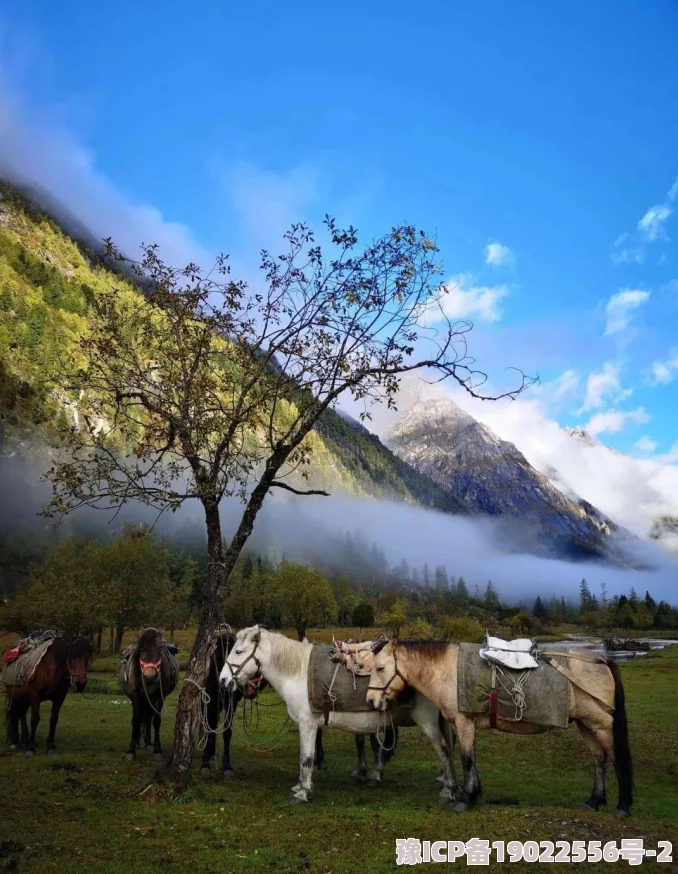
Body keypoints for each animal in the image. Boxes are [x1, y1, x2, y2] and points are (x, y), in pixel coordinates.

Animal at [118, 628, 179, 756]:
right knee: (142, 717)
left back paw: (148, 742)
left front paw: (157, 749)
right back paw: (138, 742)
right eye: (141, 649)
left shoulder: (159, 697)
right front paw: (131, 750)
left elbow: (156, 720)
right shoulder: (135, 695)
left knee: (148, 717)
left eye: (160, 649)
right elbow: (136, 719)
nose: (150, 676)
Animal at [220, 624, 460, 800]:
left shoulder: (308, 723)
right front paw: (302, 786)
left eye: (238, 651)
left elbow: (307, 757)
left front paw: (303, 792)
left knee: (444, 750)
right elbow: (305, 755)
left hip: (428, 722)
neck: (298, 672)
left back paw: (448, 790)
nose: (222, 680)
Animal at [370, 636, 636, 816]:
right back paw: (594, 800)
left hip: (601, 725)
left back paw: (622, 806)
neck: (447, 671)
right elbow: (472, 759)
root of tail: (601, 659)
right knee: (599, 760)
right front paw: (474, 793)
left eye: (380, 668)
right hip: (586, 724)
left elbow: (467, 759)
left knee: (616, 759)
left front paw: (465, 799)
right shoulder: (467, 724)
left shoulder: (464, 721)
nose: (371, 701)